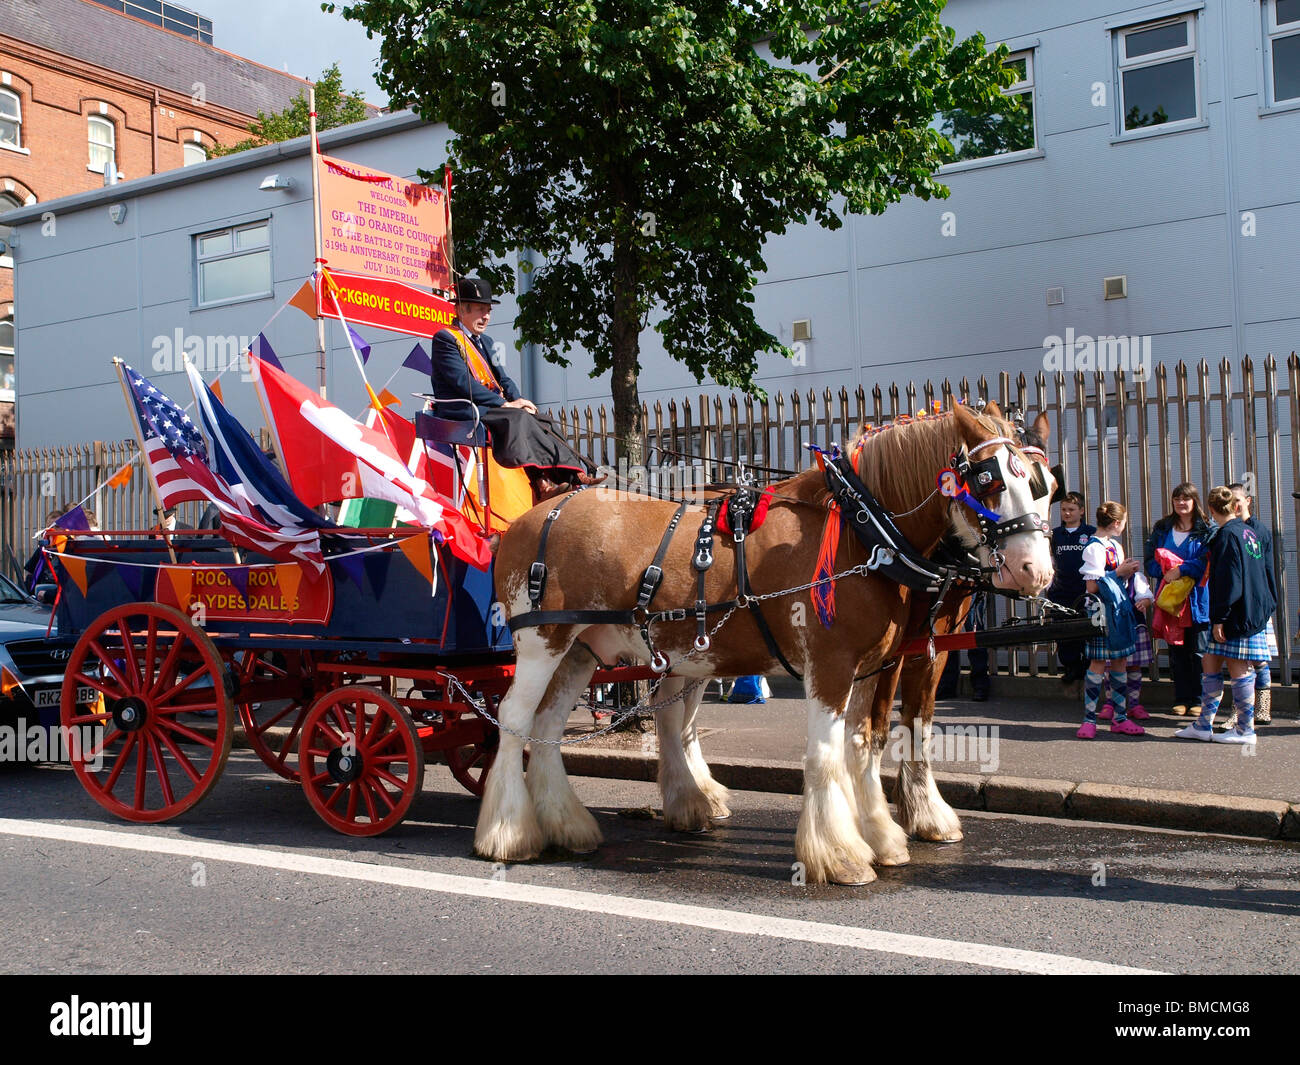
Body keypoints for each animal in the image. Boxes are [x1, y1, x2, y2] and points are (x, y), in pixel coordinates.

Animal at [478, 400, 1055, 884]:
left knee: (551, 725)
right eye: (989, 481)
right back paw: (508, 833)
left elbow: (862, 744)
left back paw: (570, 824)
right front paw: (838, 855)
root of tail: (532, 518)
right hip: (543, 643)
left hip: (585, 649)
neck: (862, 532)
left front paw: (880, 836)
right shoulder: (831, 664)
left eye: (1044, 484)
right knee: (514, 718)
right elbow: (825, 755)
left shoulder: (873, 665)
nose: (1036, 571)